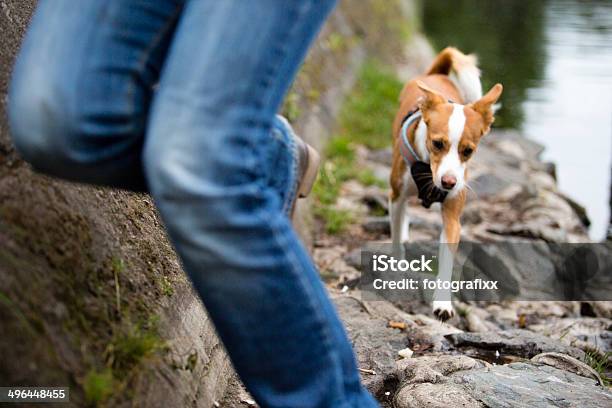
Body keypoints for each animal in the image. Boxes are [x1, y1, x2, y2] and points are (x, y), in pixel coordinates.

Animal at [392, 47, 502, 320]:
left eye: (468, 151)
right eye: (437, 143)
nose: (449, 182)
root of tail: (437, 75)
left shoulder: (453, 217)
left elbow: (447, 261)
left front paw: (443, 303)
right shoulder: (395, 194)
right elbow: (395, 237)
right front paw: (396, 267)